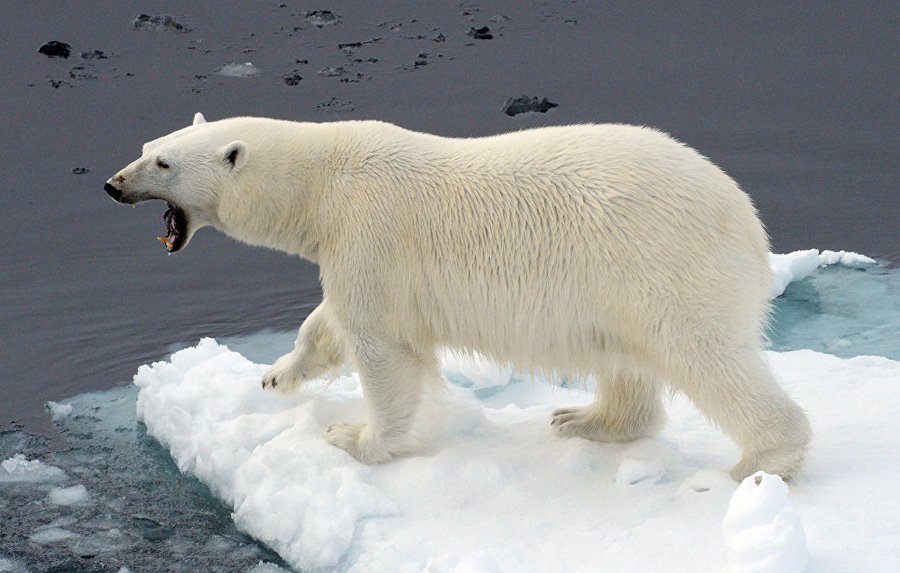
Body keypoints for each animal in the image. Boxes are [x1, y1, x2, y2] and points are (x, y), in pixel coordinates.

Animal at [105, 111, 808, 478]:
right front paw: (278, 375)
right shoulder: (350, 247)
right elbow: (329, 322)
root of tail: (747, 221)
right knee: (626, 358)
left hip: (666, 267)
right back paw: (584, 418)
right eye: (147, 146)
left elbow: (385, 349)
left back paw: (762, 461)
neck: (323, 183)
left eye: (164, 164)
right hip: (621, 286)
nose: (113, 184)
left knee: (707, 358)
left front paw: (356, 438)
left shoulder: (372, 233)